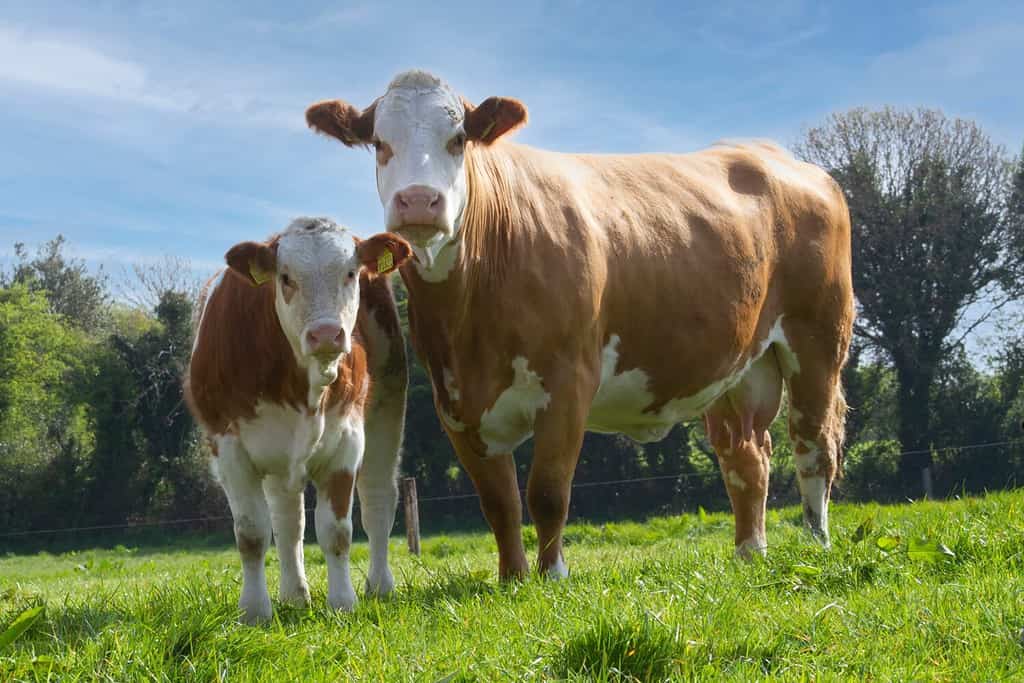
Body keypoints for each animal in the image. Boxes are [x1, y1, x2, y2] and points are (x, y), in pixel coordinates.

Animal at [185, 217, 411, 622]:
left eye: (350, 272)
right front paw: (255, 610)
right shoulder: (228, 446)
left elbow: (337, 530)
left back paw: (380, 586)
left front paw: (343, 602)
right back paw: (294, 595)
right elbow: (253, 533)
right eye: (286, 276)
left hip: (388, 407)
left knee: (378, 501)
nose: (326, 334)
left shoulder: (347, 442)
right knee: (288, 521)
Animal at [306, 71, 854, 580]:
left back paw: (817, 545)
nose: (418, 200)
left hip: (818, 340)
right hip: (737, 366)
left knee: (813, 444)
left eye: (458, 138)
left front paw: (552, 574)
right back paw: (749, 552)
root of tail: (777, 156)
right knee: (746, 456)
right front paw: (512, 577)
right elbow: (499, 502)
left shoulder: (569, 380)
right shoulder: (454, 402)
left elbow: (547, 491)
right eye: (380, 142)